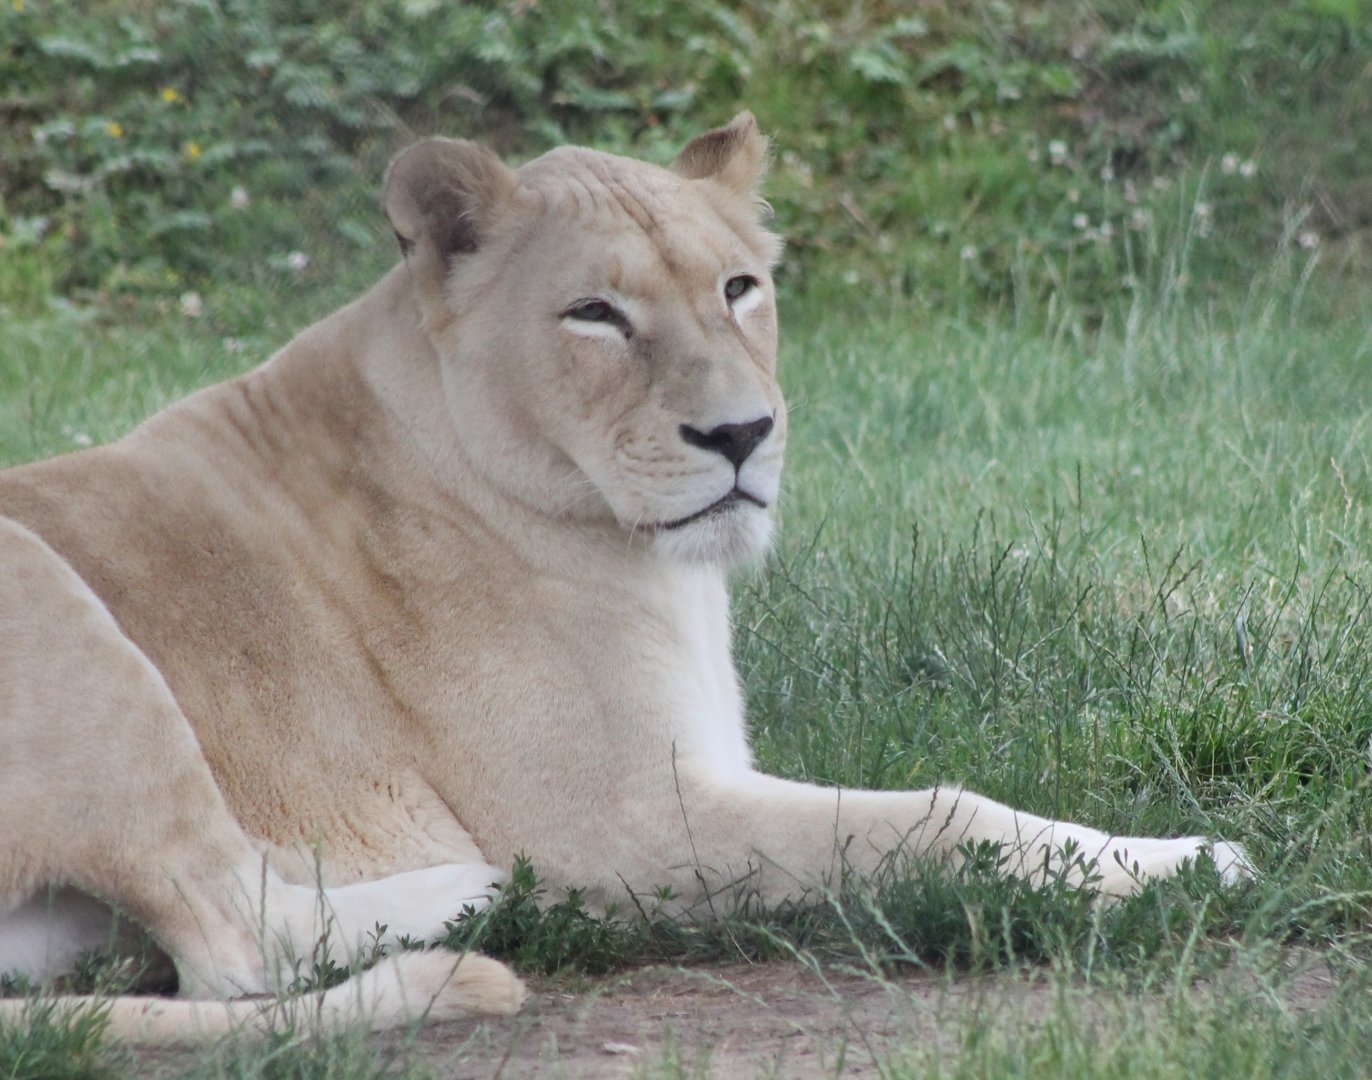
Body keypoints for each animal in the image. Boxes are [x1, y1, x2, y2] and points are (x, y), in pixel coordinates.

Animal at [0, 113, 1248, 1043]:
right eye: (594, 314)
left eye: (740, 288)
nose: (741, 435)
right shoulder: (628, 824)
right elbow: (937, 819)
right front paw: (1192, 861)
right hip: (56, 604)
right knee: (237, 948)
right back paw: (476, 892)